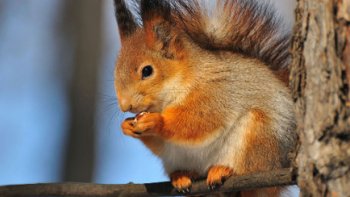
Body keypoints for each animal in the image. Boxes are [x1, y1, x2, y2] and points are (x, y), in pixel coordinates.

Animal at [113, 0, 296, 196]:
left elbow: (200, 122)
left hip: (259, 137)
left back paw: (224, 170)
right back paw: (182, 175)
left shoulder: (215, 93)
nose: (125, 106)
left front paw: (157, 121)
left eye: (147, 71)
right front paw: (126, 126)